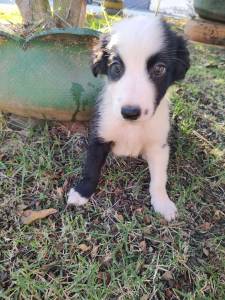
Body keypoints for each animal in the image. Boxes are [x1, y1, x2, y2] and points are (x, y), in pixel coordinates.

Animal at [67, 16, 190, 221]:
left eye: (159, 69)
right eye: (116, 67)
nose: (130, 112)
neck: (132, 127)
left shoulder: (158, 146)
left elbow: (159, 178)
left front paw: (162, 202)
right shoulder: (100, 135)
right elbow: (91, 168)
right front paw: (82, 192)